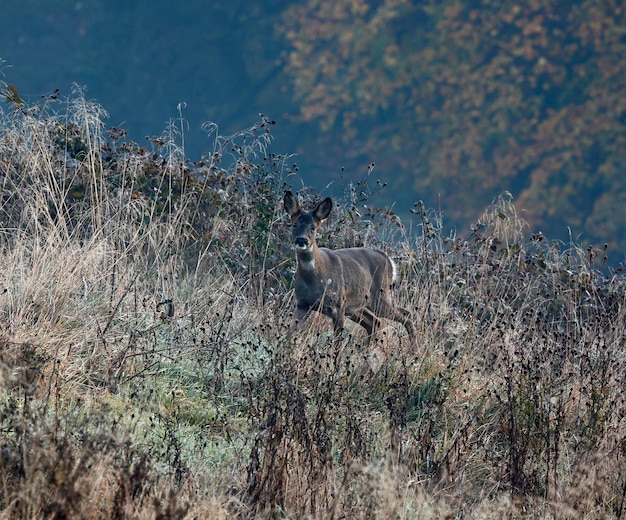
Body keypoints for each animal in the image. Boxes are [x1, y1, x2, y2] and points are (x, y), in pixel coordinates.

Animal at [282, 191, 414, 346]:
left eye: (313, 227)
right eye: (294, 224)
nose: (301, 240)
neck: (314, 279)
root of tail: (389, 260)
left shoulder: (338, 304)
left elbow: (337, 341)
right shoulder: (302, 304)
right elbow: (290, 333)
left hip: (380, 296)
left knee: (405, 315)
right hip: (357, 306)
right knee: (375, 322)